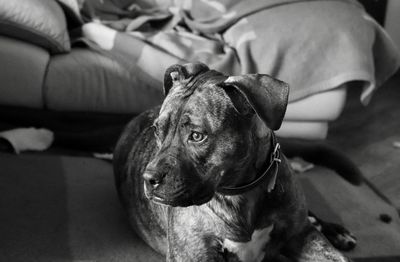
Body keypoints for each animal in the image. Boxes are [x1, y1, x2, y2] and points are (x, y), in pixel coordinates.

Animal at [114, 62, 352, 260]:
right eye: (157, 130)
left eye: (197, 136)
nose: (148, 178)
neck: (242, 192)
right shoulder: (192, 253)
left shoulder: (302, 236)